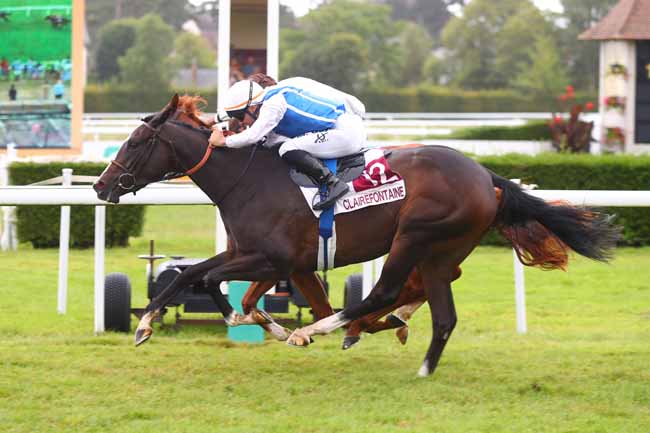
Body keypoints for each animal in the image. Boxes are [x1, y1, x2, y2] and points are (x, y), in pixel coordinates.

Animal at [96, 93, 616, 374]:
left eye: (136, 142)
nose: (102, 185)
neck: (246, 178)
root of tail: (485, 174)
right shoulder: (260, 255)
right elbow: (199, 278)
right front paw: (151, 324)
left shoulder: (274, 257)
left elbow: (203, 279)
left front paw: (245, 321)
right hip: (440, 249)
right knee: (439, 306)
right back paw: (409, 352)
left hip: (415, 236)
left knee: (383, 291)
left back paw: (328, 329)